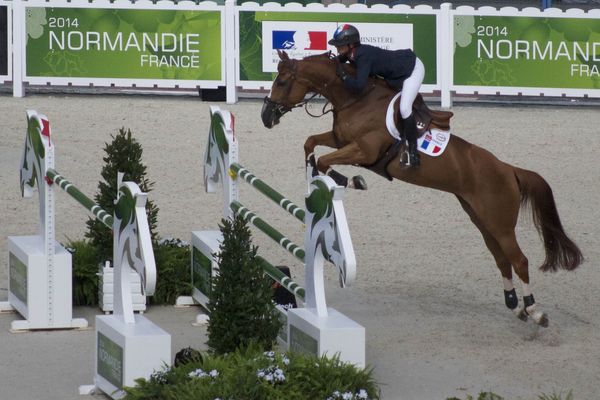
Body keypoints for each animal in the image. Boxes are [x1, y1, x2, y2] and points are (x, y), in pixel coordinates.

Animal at [262, 50, 580, 326]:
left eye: (281, 81)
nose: (266, 117)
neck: (355, 98)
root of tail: (509, 170)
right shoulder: (341, 140)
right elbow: (311, 144)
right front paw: (318, 173)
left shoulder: (363, 150)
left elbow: (325, 160)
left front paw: (350, 180)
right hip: (482, 220)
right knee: (501, 259)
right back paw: (515, 305)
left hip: (500, 223)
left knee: (519, 260)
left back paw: (535, 311)